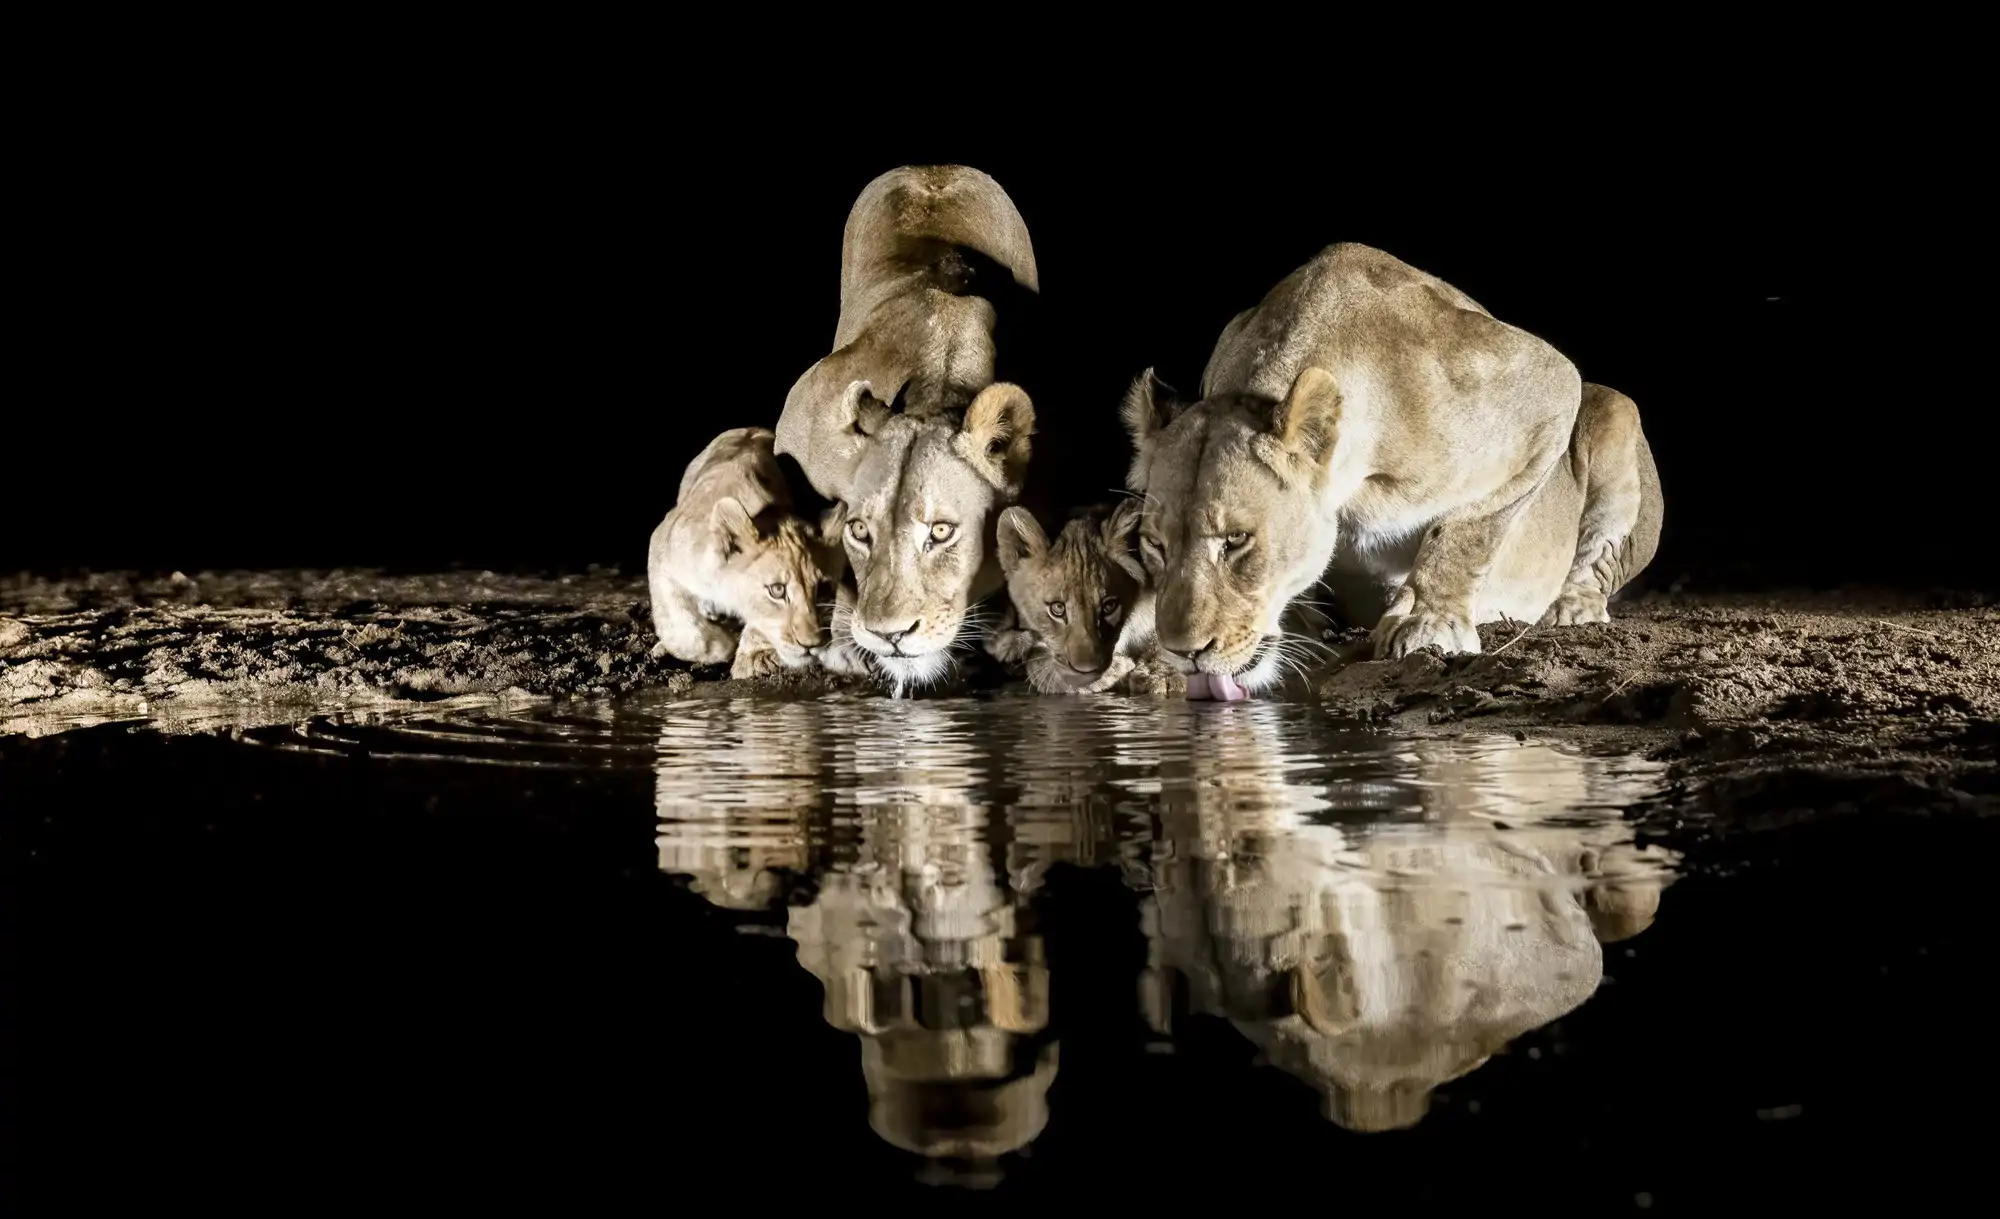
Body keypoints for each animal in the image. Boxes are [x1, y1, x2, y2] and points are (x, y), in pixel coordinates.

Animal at [645, 427, 846, 679]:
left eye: (824, 589)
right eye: (777, 590)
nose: (812, 644)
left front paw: (754, 656)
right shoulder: (662, 546)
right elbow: (682, 631)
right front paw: (723, 644)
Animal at [1121, 243, 1662, 695]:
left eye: (1236, 540)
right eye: (1154, 545)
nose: (1185, 651)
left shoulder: (1547, 384)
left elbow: (1468, 528)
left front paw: (1428, 622)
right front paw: (1156, 665)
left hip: (1612, 409)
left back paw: (1572, 608)